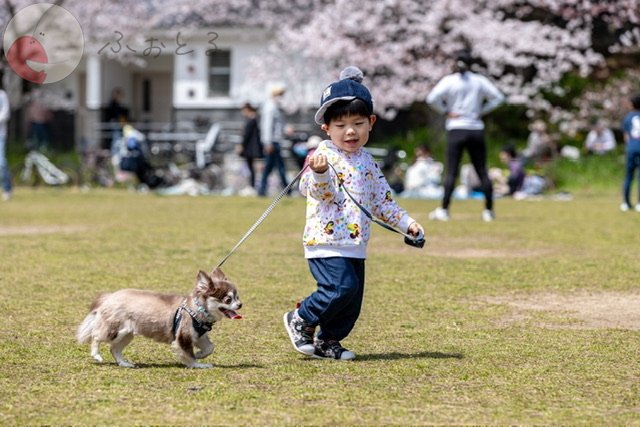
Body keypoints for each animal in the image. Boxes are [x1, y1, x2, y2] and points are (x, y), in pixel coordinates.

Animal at [76, 270, 241, 370]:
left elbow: (210, 347)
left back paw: (124, 363)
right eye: (228, 299)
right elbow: (188, 354)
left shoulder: (199, 335)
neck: (198, 308)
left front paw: (200, 354)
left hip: (126, 334)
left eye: (237, 297)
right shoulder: (184, 336)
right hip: (113, 328)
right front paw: (198, 364)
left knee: (114, 349)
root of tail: (110, 296)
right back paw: (96, 355)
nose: (240, 304)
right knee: (96, 336)